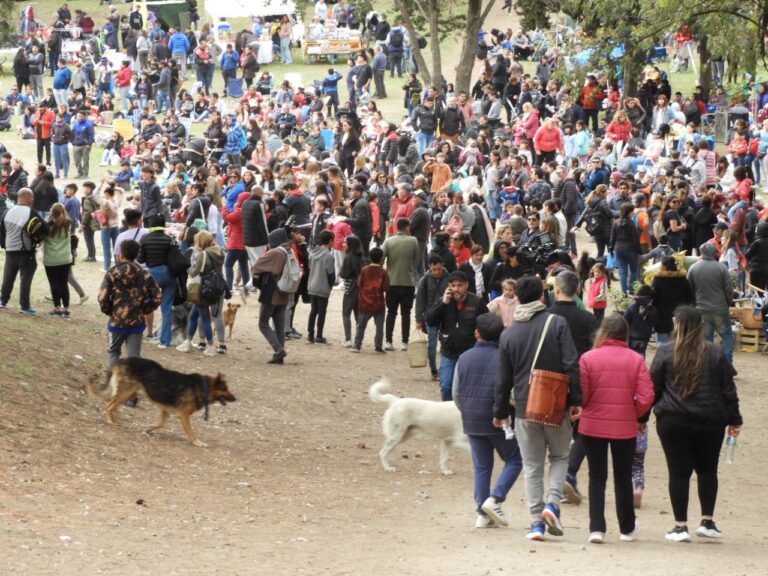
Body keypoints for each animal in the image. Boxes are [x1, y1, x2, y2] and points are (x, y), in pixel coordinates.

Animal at [86, 358, 234, 448]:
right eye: (225, 389)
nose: (235, 398)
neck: (203, 387)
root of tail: (120, 360)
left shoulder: (165, 409)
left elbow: (161, 424)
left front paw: (149, 428)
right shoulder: (184, 415)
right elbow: (191, 432)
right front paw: (197, 442)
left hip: (128, 394)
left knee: (112, 405)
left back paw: (116, 417)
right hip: (126, 393)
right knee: (109, 405)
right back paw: (111, 421)